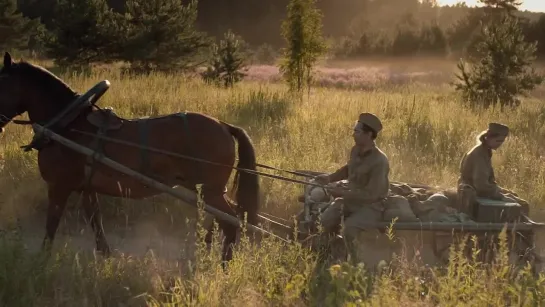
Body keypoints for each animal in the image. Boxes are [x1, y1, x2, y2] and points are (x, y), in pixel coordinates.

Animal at [0, 51, 260, 264]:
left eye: (0, 84)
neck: (68, 125)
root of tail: (224, 126)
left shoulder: (59, 186)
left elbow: (52, 224)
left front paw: (42, 261)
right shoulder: (87, 187)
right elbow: (96, 222)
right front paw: (105, 257)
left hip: (210, 190)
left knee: (231, 221)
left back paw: (223, 265)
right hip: (208, 191)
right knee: (225, 219)